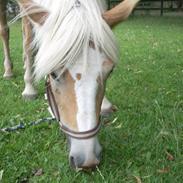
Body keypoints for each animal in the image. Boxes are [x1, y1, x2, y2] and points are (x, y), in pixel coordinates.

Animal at [13, 0, 139, 170]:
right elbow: (27, 47)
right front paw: (29, 89)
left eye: (110, 71)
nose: (88, 159)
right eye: (53, 74)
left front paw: (105, 104)